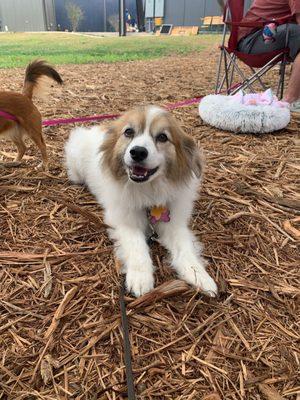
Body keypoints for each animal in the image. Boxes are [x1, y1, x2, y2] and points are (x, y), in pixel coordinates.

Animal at [64, 105, 217, 296]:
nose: (137, 152)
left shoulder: (174, 224)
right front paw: (140, 278)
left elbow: (185, 249)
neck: (148, 192)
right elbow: (137, 246)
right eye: (129, 132)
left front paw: (199, 275)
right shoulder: (124, 222)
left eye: (162, 137)